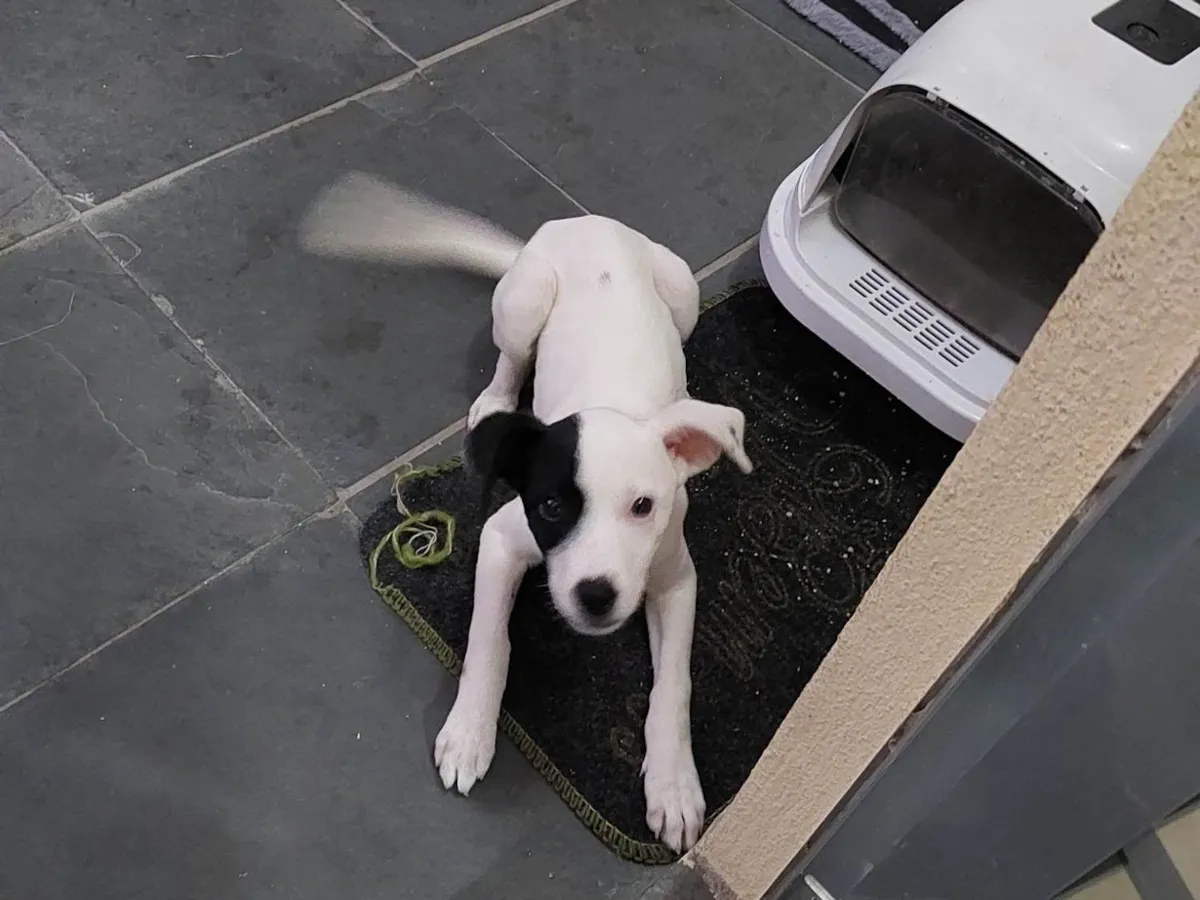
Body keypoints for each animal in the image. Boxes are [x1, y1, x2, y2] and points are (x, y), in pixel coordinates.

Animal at [300, 173, 752, 852]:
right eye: (550, 506)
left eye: (643, 506)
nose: (595, 596)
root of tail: (580, 224)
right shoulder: (501, 537)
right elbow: (491, 640)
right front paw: (470, 731)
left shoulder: (676, 577)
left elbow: (674, 683)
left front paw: (673, 784)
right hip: (525, 301)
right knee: (511, 362)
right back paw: (495, 402)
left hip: (684, 292)